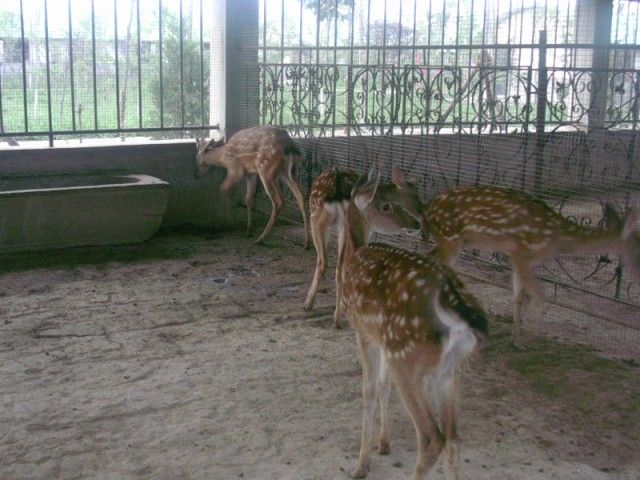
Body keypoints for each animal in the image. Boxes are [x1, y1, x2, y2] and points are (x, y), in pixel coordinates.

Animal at [338, 172, 488, 480]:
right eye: (386, 205)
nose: (414, 224)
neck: (352, 256)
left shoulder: (363, 331)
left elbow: (368, 390)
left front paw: (361, 465)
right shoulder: (382, 339)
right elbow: (382, 385)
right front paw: (383, 444)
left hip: (408, 357)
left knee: (432, 439)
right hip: (447, 368)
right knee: (454, 440)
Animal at [390, 171, 640, 346]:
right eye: (636, 245)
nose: (636, 273)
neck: (556, 239)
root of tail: (426, 210)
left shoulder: (517, 258)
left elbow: (519, 296)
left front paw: (516, 336)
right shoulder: (522, 253)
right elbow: (540, 295)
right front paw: (529, 334)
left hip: (449, 240)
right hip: (450, 238)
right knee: (435, 263)